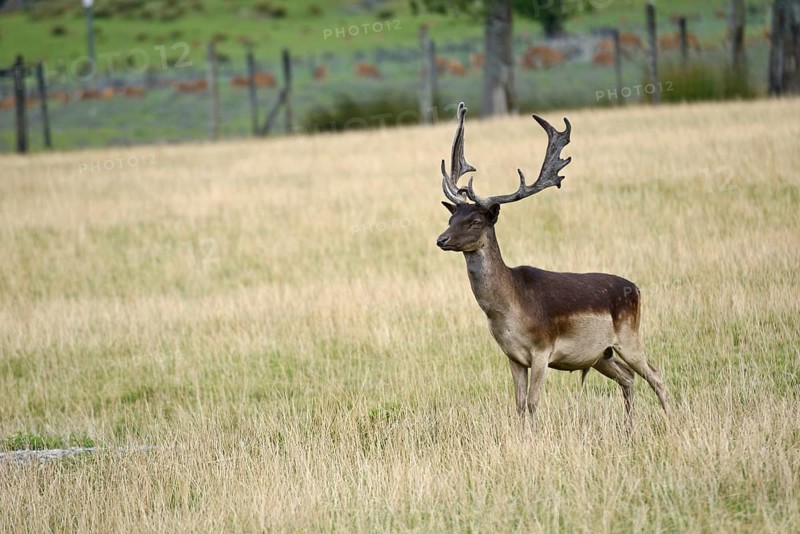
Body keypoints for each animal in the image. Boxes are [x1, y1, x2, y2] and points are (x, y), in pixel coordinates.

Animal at [436, 103, 670, 427]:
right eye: (451, 217)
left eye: (475, 221)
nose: (441, 239)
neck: (507, 310)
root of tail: (636, 288)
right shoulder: (512, 356)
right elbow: (519, 405)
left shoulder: (542, 350)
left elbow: (533, 404)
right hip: (603, 354)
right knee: (628, 378)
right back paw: (629, 426)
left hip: (629, 337)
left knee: (656, 376)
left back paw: (672, 420)